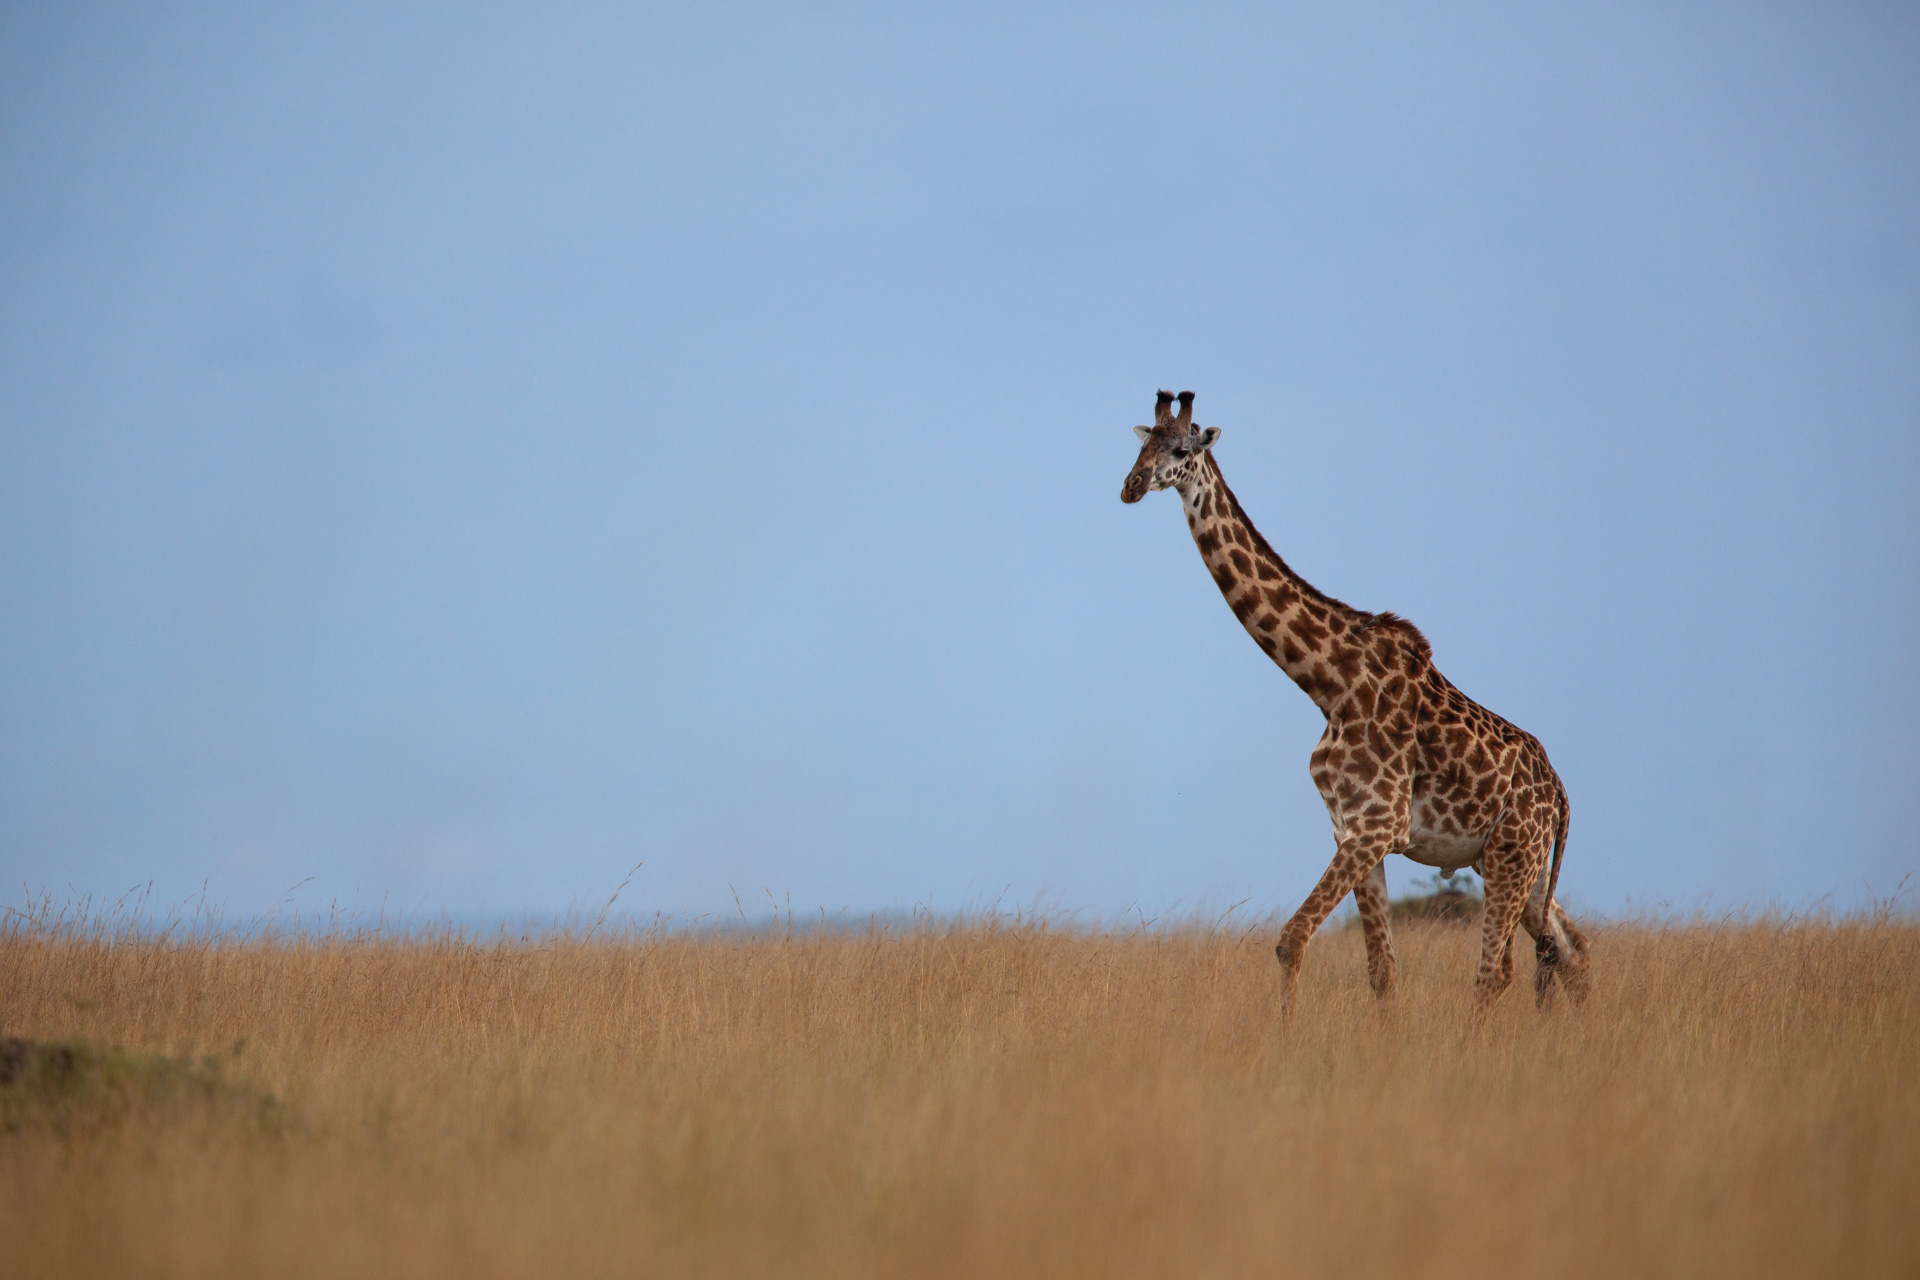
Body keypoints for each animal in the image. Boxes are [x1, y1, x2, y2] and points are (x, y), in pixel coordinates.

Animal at [1121, 385, 1589, 1013]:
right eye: (1142, 443)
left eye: (1180, 448)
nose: (1131, 485)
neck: (1329, 683)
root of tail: (1560, 793)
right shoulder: (1350, 830)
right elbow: (1382, 971)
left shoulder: (1378, 826)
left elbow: (1292, 939)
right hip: (1524, 865)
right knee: (1571, 949)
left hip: (1512, 857)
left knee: (1497, 972)